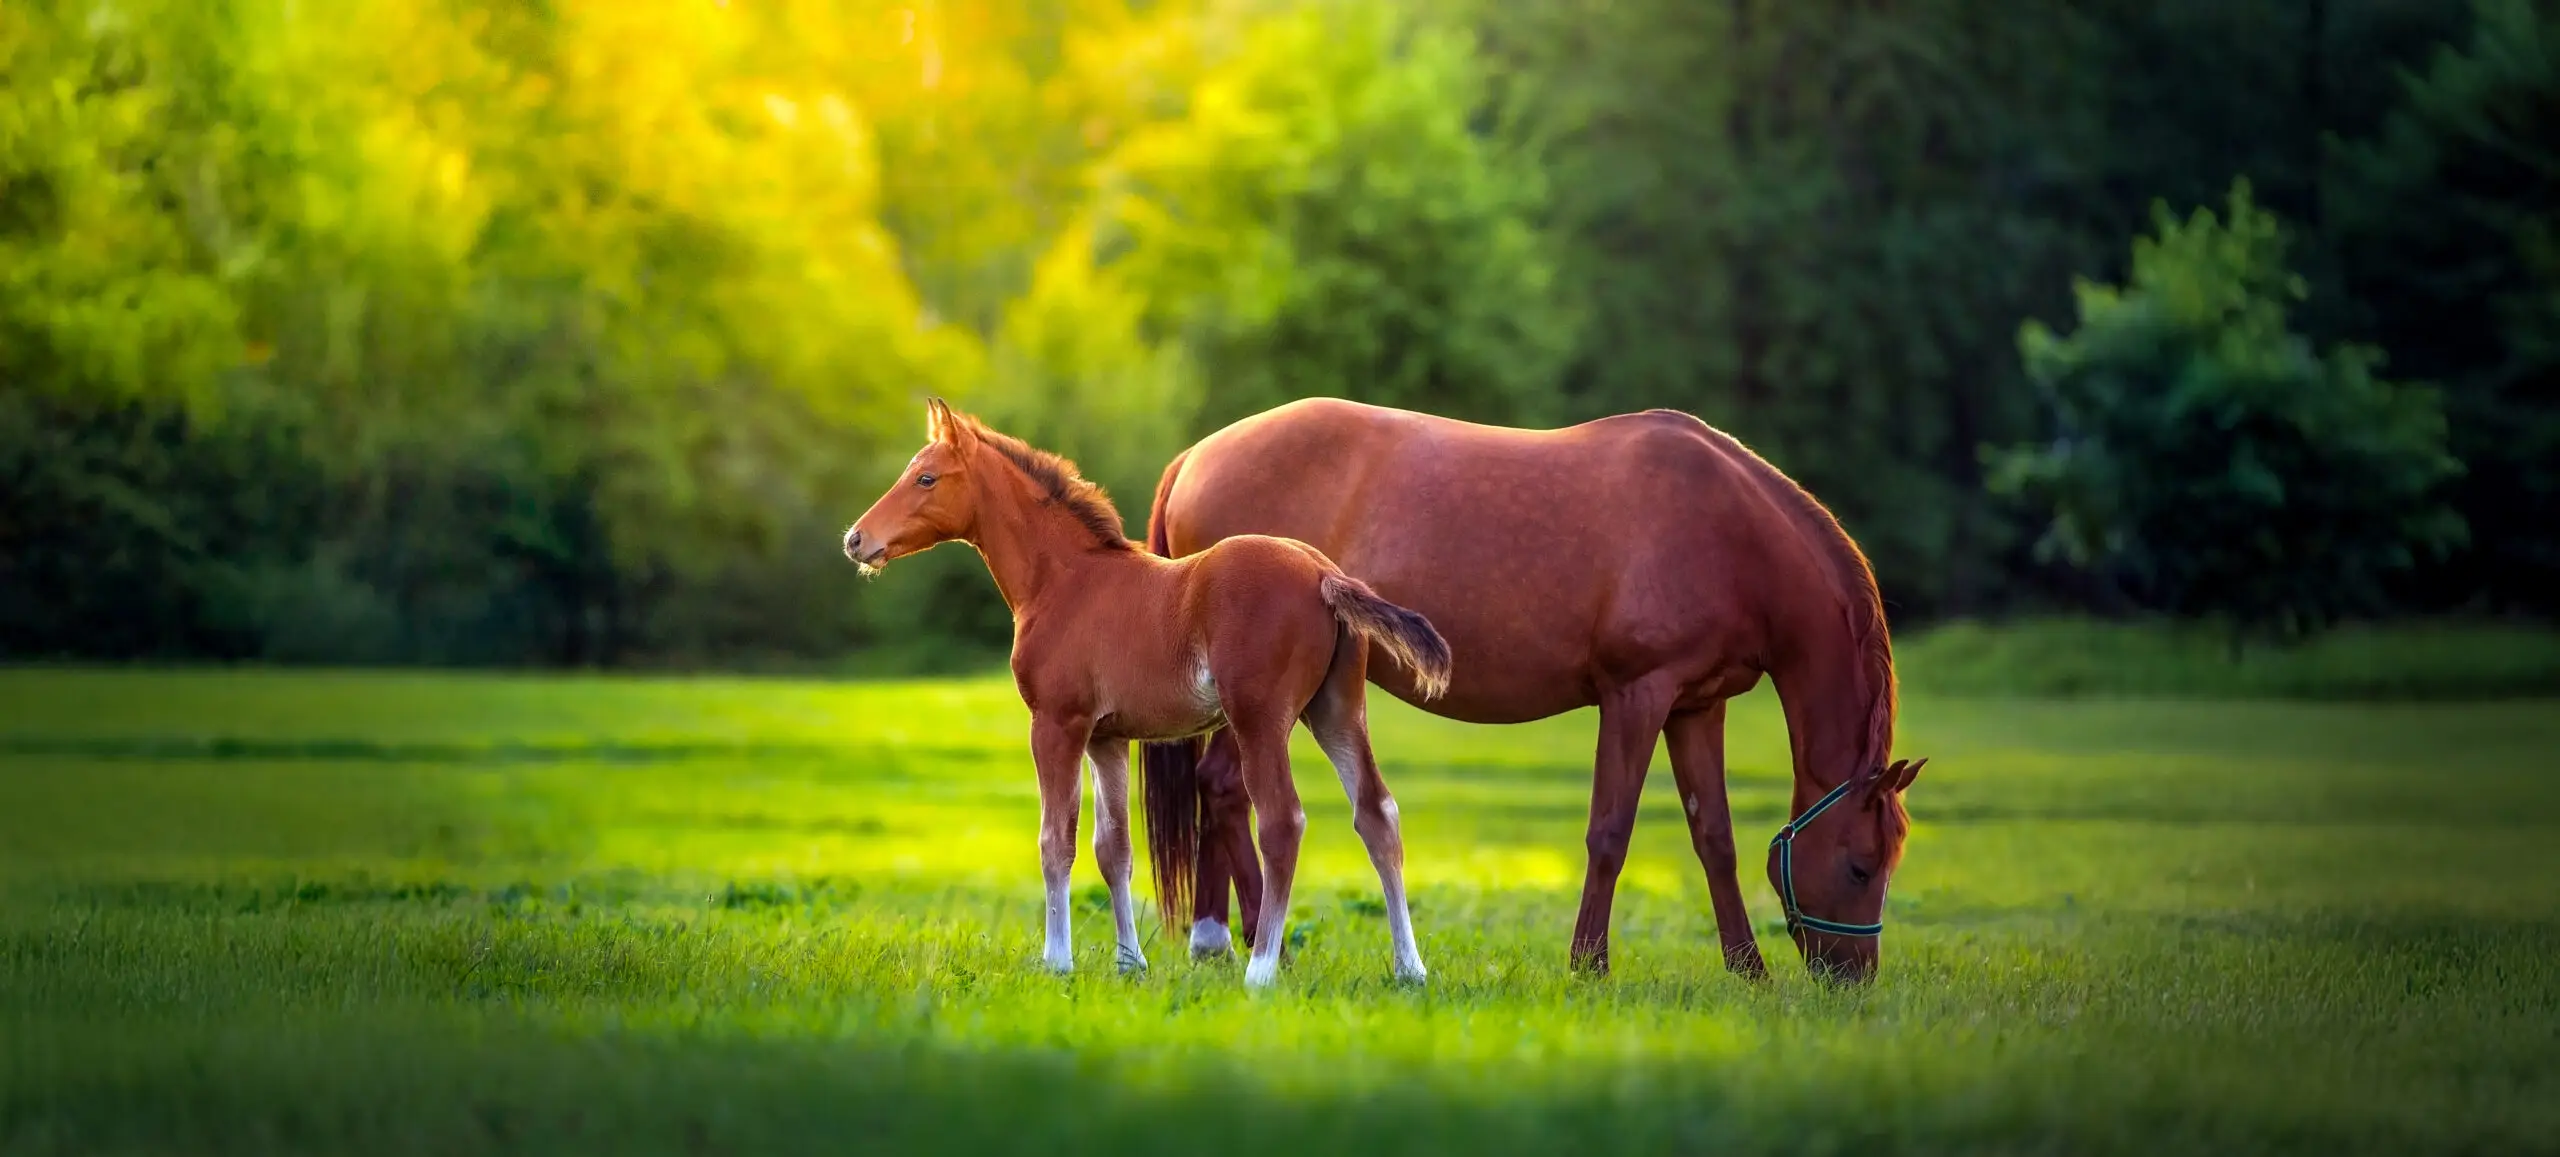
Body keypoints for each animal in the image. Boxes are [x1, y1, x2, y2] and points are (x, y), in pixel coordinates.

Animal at [843, 398, 1453, 988]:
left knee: (1283, 821)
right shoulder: (1106, 738)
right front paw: (1129, 964)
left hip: (1261, 719)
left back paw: (1260, 970)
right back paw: (1410, 968)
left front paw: (1057, 962)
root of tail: (1323, 574)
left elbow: (1055, 841)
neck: (1065, 581)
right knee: (1376, 813)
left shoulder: (1056, 724)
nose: (855, 539)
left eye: (925, 478)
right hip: (1337, 710)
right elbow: (1113, 850)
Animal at [1140, 397, 1926, 982]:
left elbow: (1715, 838)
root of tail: (1196, 456)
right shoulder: (1637, 695)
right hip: (1262, 704)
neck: (1729, 532)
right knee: (1228, 790)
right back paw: (1250, 937)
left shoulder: (1698, 706)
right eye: (1860, 866)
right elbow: (1609, 831)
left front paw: (1748, 970)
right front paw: (1589, 965)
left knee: (1219, 790)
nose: (1852, 978)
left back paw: (1218, 938)